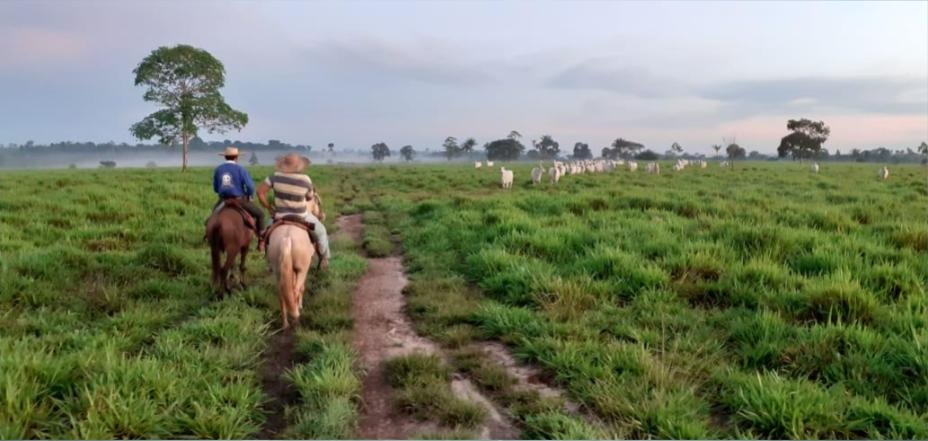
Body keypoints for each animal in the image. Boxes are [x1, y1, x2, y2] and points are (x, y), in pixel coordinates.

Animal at [266, 189, 324, 326]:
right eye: (318, 202)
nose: (321, 215)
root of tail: (287, 237)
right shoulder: (302, 269)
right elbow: (300, 287)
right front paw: (300, 306)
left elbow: (290, 286)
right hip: (302, 269)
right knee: (297, 289)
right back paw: (296, 315)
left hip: (278, 270)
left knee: (282, 294)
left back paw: (285, 324)